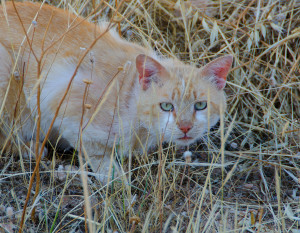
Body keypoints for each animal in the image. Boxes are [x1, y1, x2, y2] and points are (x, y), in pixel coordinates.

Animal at [0, 1, 232, 183]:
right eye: (166, 106)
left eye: (200, 105)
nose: (185, 127)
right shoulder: (61, 97)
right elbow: (98, 155)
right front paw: (116, 179)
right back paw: (30, 148)